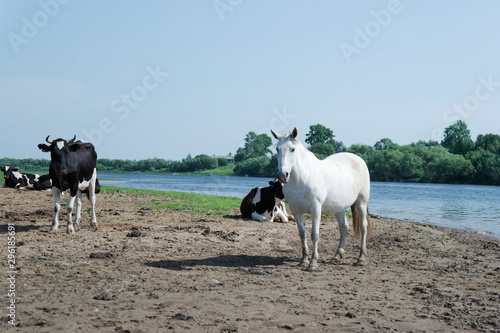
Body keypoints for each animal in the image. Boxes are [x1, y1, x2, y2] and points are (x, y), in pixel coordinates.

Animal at [270, 127, 372, 270]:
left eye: (292, 149)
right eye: (277, 149)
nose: (282, 175)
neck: (302, 179)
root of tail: (358, 159)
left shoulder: (315, 209)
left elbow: (315, 234)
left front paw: (313, 263)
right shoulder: (296, 211)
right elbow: (302, 233)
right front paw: (304, 260)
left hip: (361, 202)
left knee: (363, 227)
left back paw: (361, 258)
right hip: (338, 208)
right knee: (344, 227)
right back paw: (337, 255)